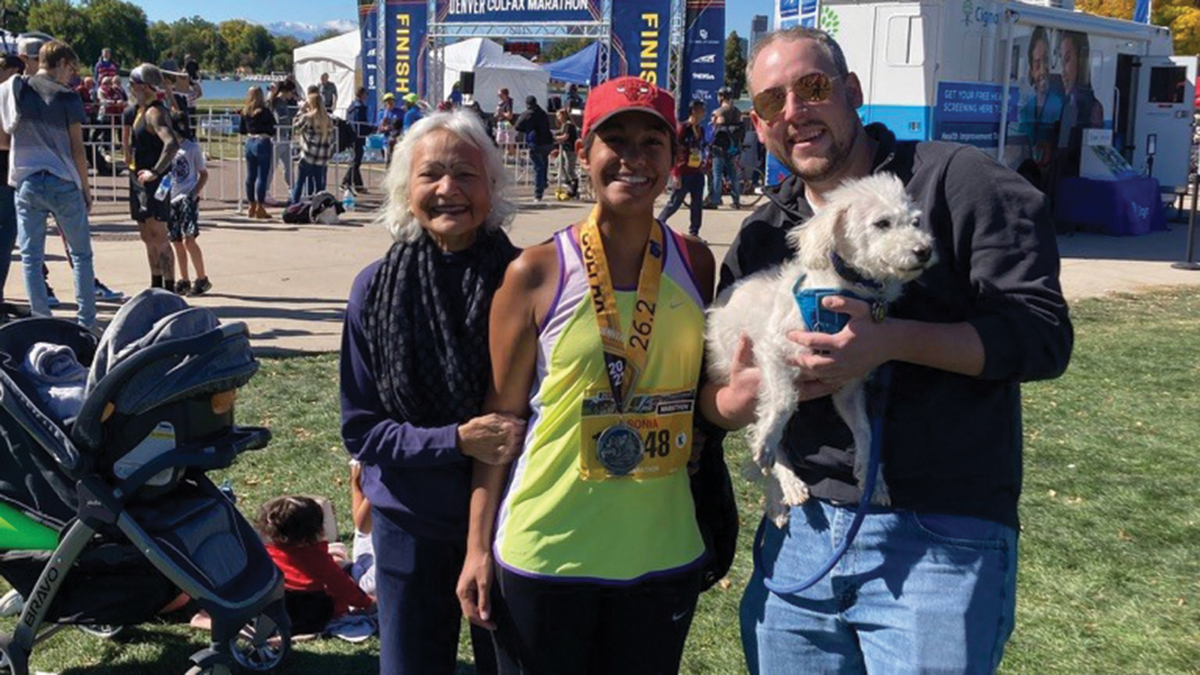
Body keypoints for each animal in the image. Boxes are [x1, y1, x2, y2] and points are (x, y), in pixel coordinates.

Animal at [705, 171, 931, 526]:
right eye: (882, 223)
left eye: (916, 221)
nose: (924, 250)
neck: (845, 289)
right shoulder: (774, 352)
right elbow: (783, 404)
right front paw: (768, 442)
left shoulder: (848, 386)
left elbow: (866, 431)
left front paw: (872, 476)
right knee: (765, 432)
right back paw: (782, 485)